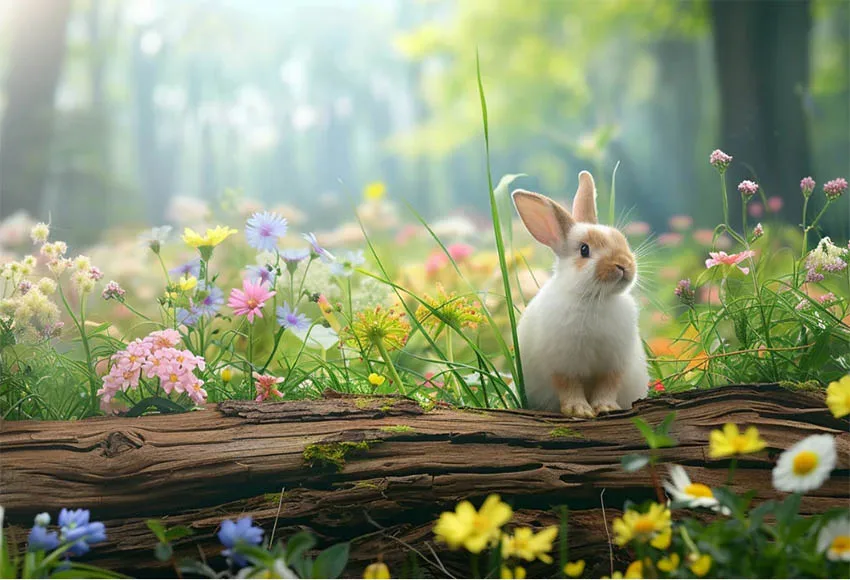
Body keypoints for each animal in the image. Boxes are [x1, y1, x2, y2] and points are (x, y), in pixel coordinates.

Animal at [512, 171, 649, 418]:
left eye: (621, 239)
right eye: (584, 250)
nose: (624, 264)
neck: (595, 298)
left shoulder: (614, 364)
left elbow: (608, 386)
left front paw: (606, 408)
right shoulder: (563, 364)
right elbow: (569, 387)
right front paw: (580, 411)